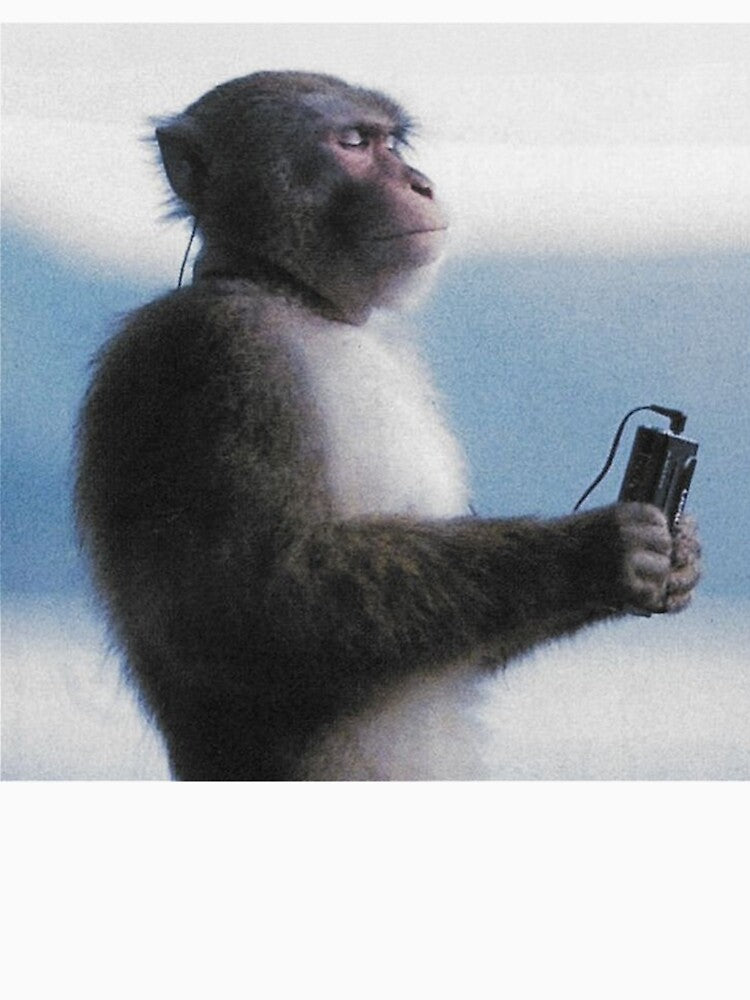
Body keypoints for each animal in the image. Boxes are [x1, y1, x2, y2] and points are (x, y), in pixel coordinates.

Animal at [75, 71, 701, 780]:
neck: (293, 295)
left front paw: (680, 552)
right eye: (353, 142)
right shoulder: (215, 357)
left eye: (393, 143)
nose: (420, 183)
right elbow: (249, 614)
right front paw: (600, 550)